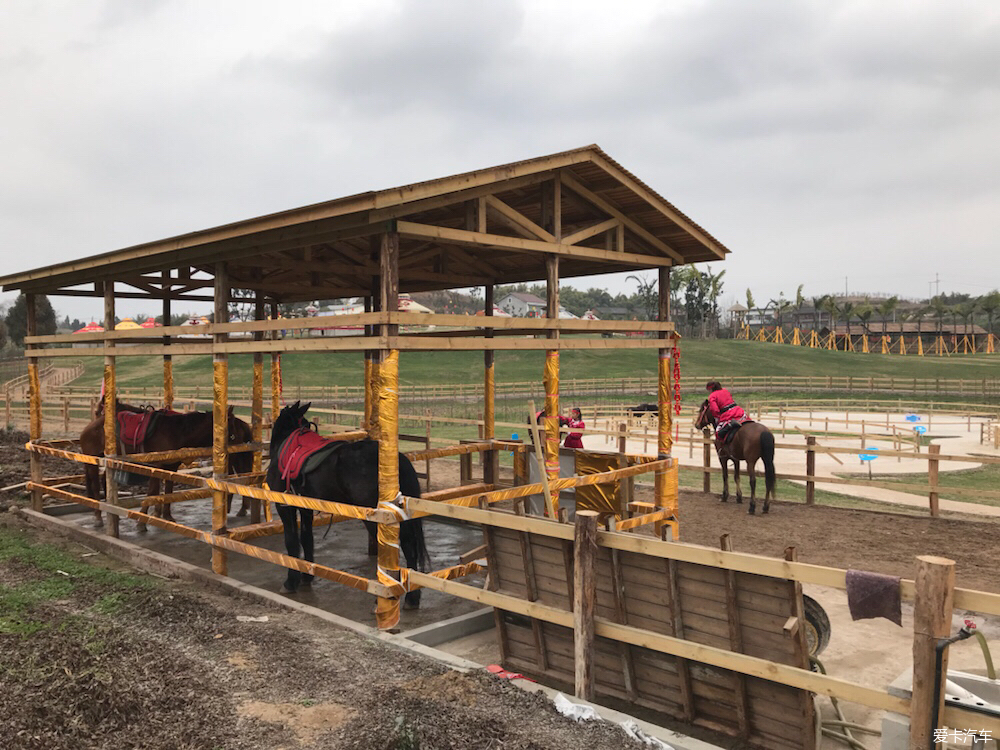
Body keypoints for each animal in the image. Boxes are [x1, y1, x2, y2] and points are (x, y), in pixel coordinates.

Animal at [81, 406, 254, 528]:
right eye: (232, 430)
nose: (242, 446)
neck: (174, 432)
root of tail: (90, 426)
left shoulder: (171, 467)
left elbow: (168, 491)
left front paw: (167, 516)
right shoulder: (156, 466)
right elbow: (152, 491)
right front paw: (142, 522)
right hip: (92, 461)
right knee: (95, 485)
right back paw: (97, 516)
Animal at [268, 402, 428, 608]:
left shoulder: (284, 506)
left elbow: (292, 542)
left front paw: (291, 581)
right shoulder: (306, 507)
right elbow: (306, 538)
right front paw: (306, 575)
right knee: (409, 545)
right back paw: (412, 598)